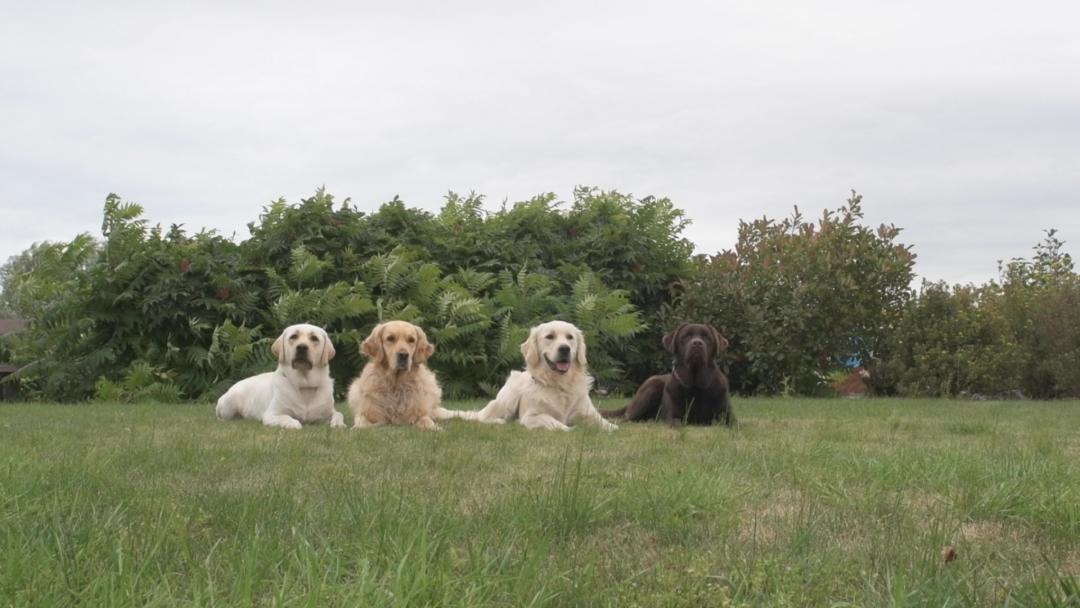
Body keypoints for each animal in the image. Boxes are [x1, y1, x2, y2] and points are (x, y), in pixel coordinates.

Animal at [436, 321, 617, 429]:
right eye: (549, 336)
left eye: (570, 337)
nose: (565, 348)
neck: (560, 384)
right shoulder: (531, 416)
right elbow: (554, 422)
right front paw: (568, 429)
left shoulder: (588, 413)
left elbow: (605, 424)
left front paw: (611, 428)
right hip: (509, 397)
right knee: (484, 417)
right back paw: (498, 421)